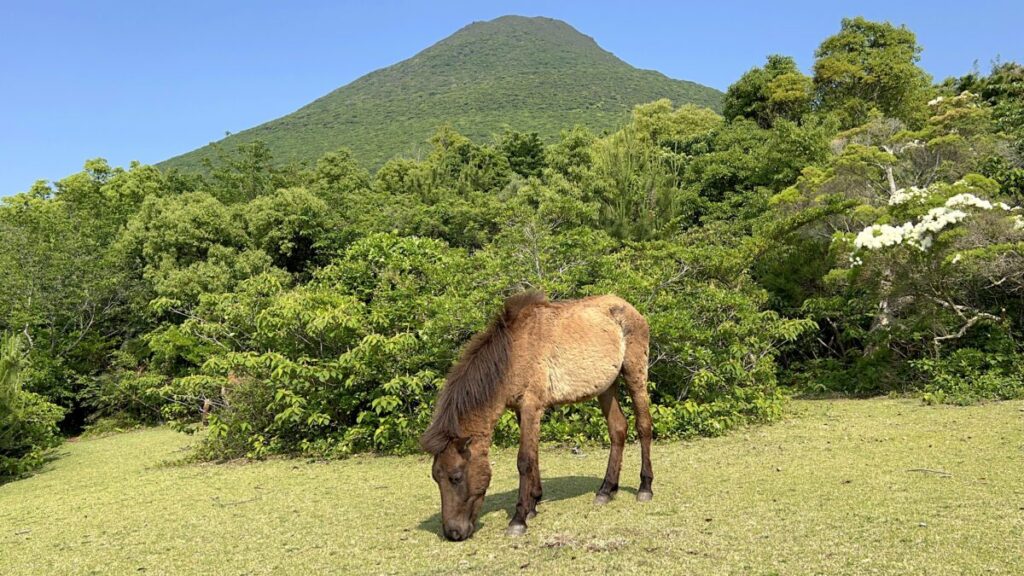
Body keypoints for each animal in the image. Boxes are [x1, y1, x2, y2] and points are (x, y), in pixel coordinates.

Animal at [420, 291, 653, 541]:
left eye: (456, 477)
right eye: (436, 477)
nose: (453, 532)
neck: (511, 355)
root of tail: (629, 308)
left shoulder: (531, 406)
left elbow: (524, 461)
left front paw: (519, 518)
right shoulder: (521, 410)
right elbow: (534, 457)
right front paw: (532, 505)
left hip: (634, 374)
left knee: (643, 427)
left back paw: (645, 488)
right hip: (606, 387)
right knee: (617, 429)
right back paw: (606, 490)